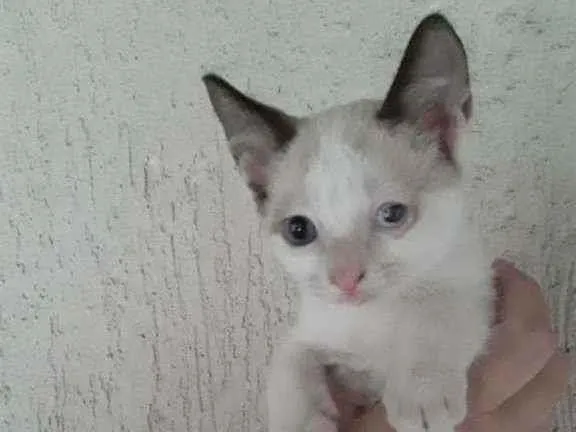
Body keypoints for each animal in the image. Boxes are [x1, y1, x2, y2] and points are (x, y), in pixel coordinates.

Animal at [202, 12, 493, 432]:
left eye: (392, 214)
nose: (345, 280)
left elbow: (438, 306)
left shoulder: (473, 282)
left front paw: (421, 392)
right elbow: (288, 362)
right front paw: (302, 422)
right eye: (298, 230)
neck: (369, 319)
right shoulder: (314, 332)